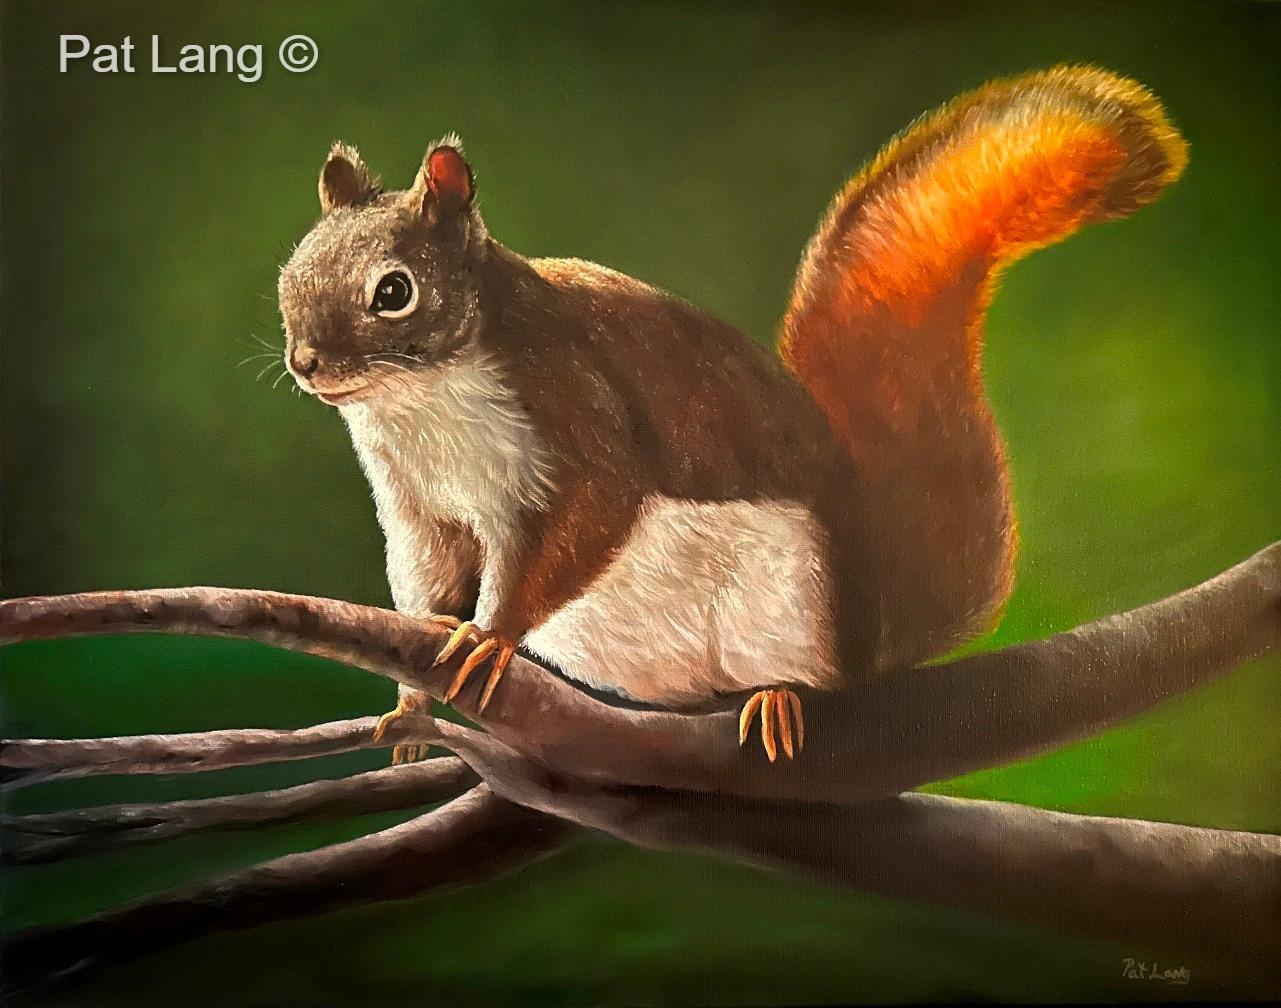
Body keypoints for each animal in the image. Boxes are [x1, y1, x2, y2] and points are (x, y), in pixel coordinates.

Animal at [279, 66, 1187, 763]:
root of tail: (874, 622)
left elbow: (586, 516)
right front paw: (410, 704)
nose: (305, 363)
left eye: (393, 292)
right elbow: (424, 588)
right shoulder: (419, 511)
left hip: (792, 600)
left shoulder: (572, 411)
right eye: (291, 272)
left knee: (805, 672)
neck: (420, 402)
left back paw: (777, 698)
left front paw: (490, 637)